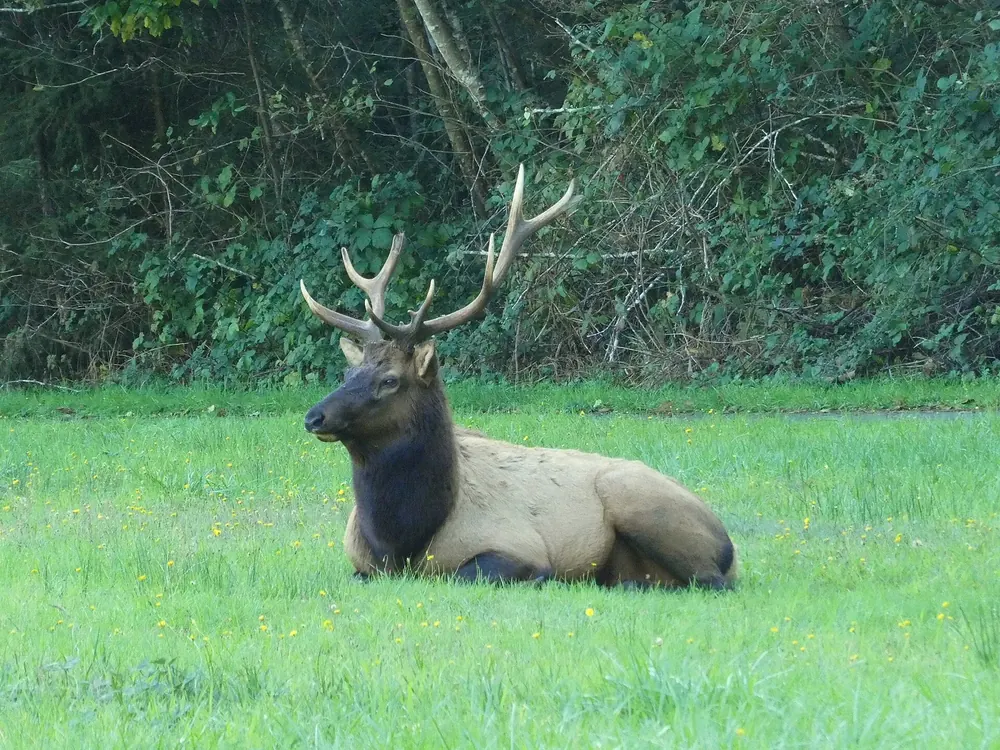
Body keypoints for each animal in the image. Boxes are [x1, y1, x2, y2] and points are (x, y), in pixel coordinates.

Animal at [299, 165, 739, 590]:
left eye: (390, 380)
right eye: (348, 371)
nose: (314, 416)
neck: (400, 541)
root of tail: (729, 548)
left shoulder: (519, 546)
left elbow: (471, 573)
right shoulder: (361, 565)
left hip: (640, 502)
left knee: (710, 582)